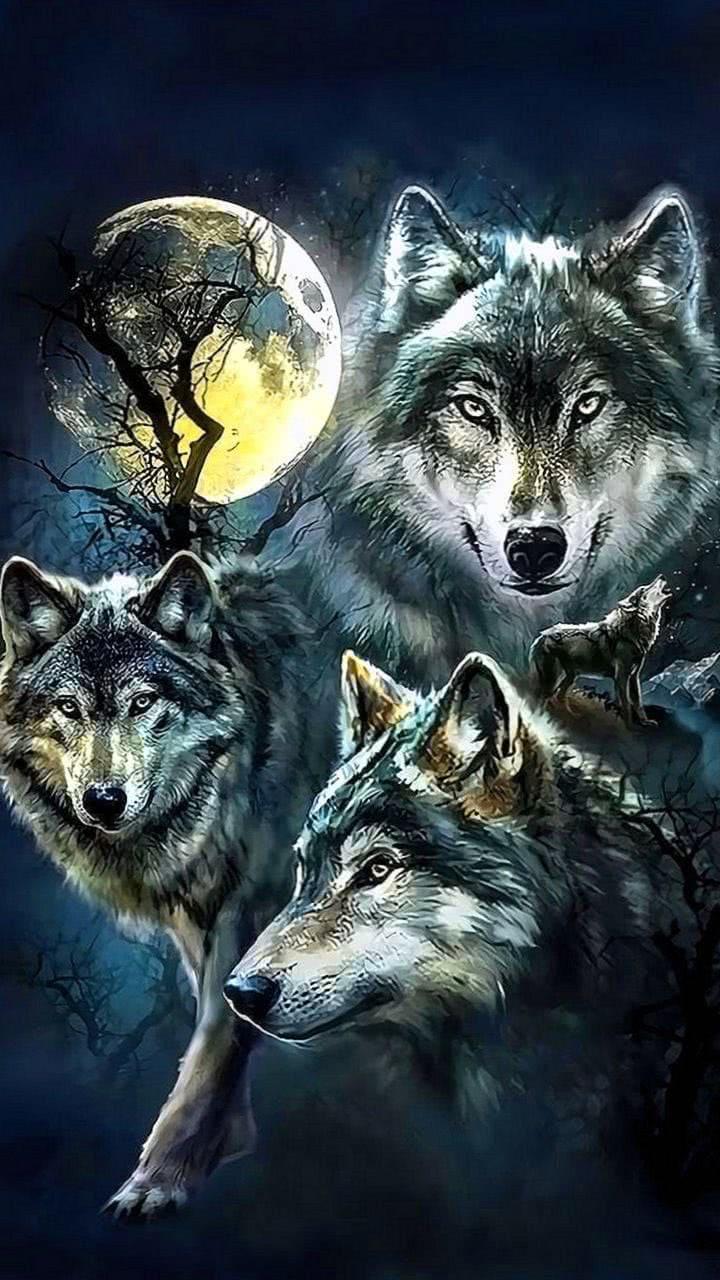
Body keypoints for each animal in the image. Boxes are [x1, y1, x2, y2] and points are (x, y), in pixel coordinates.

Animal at [0, 550, 321, 1219]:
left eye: (143, 701)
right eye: (68, 708)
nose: (104, 801)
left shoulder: (255, 901)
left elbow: (218, 1030)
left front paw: (164, 1174)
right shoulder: (197, 913)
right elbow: (217, 1015)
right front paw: (223, 1138)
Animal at [529, 575, 672, 727]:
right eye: (645, 589)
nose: (661, 576)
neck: (632, 632)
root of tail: (542, 636)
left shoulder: (633, 676)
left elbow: (637, 702)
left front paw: (645, 722)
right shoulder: (621, 676)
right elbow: (626, 705)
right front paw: (629, 727)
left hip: (570, 676)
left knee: (559, 696)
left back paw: (572, 716)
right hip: (553, 679)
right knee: (543, 699)